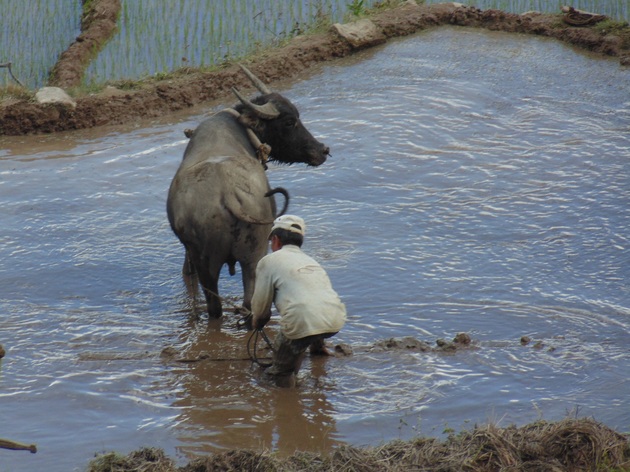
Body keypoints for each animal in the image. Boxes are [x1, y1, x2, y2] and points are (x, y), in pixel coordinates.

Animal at [168, 63, 330, 318]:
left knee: (217, 308)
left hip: (208, 264)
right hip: (255, 255)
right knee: (250, 302)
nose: (322, 150)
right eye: (289, 121)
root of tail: (228, 196)